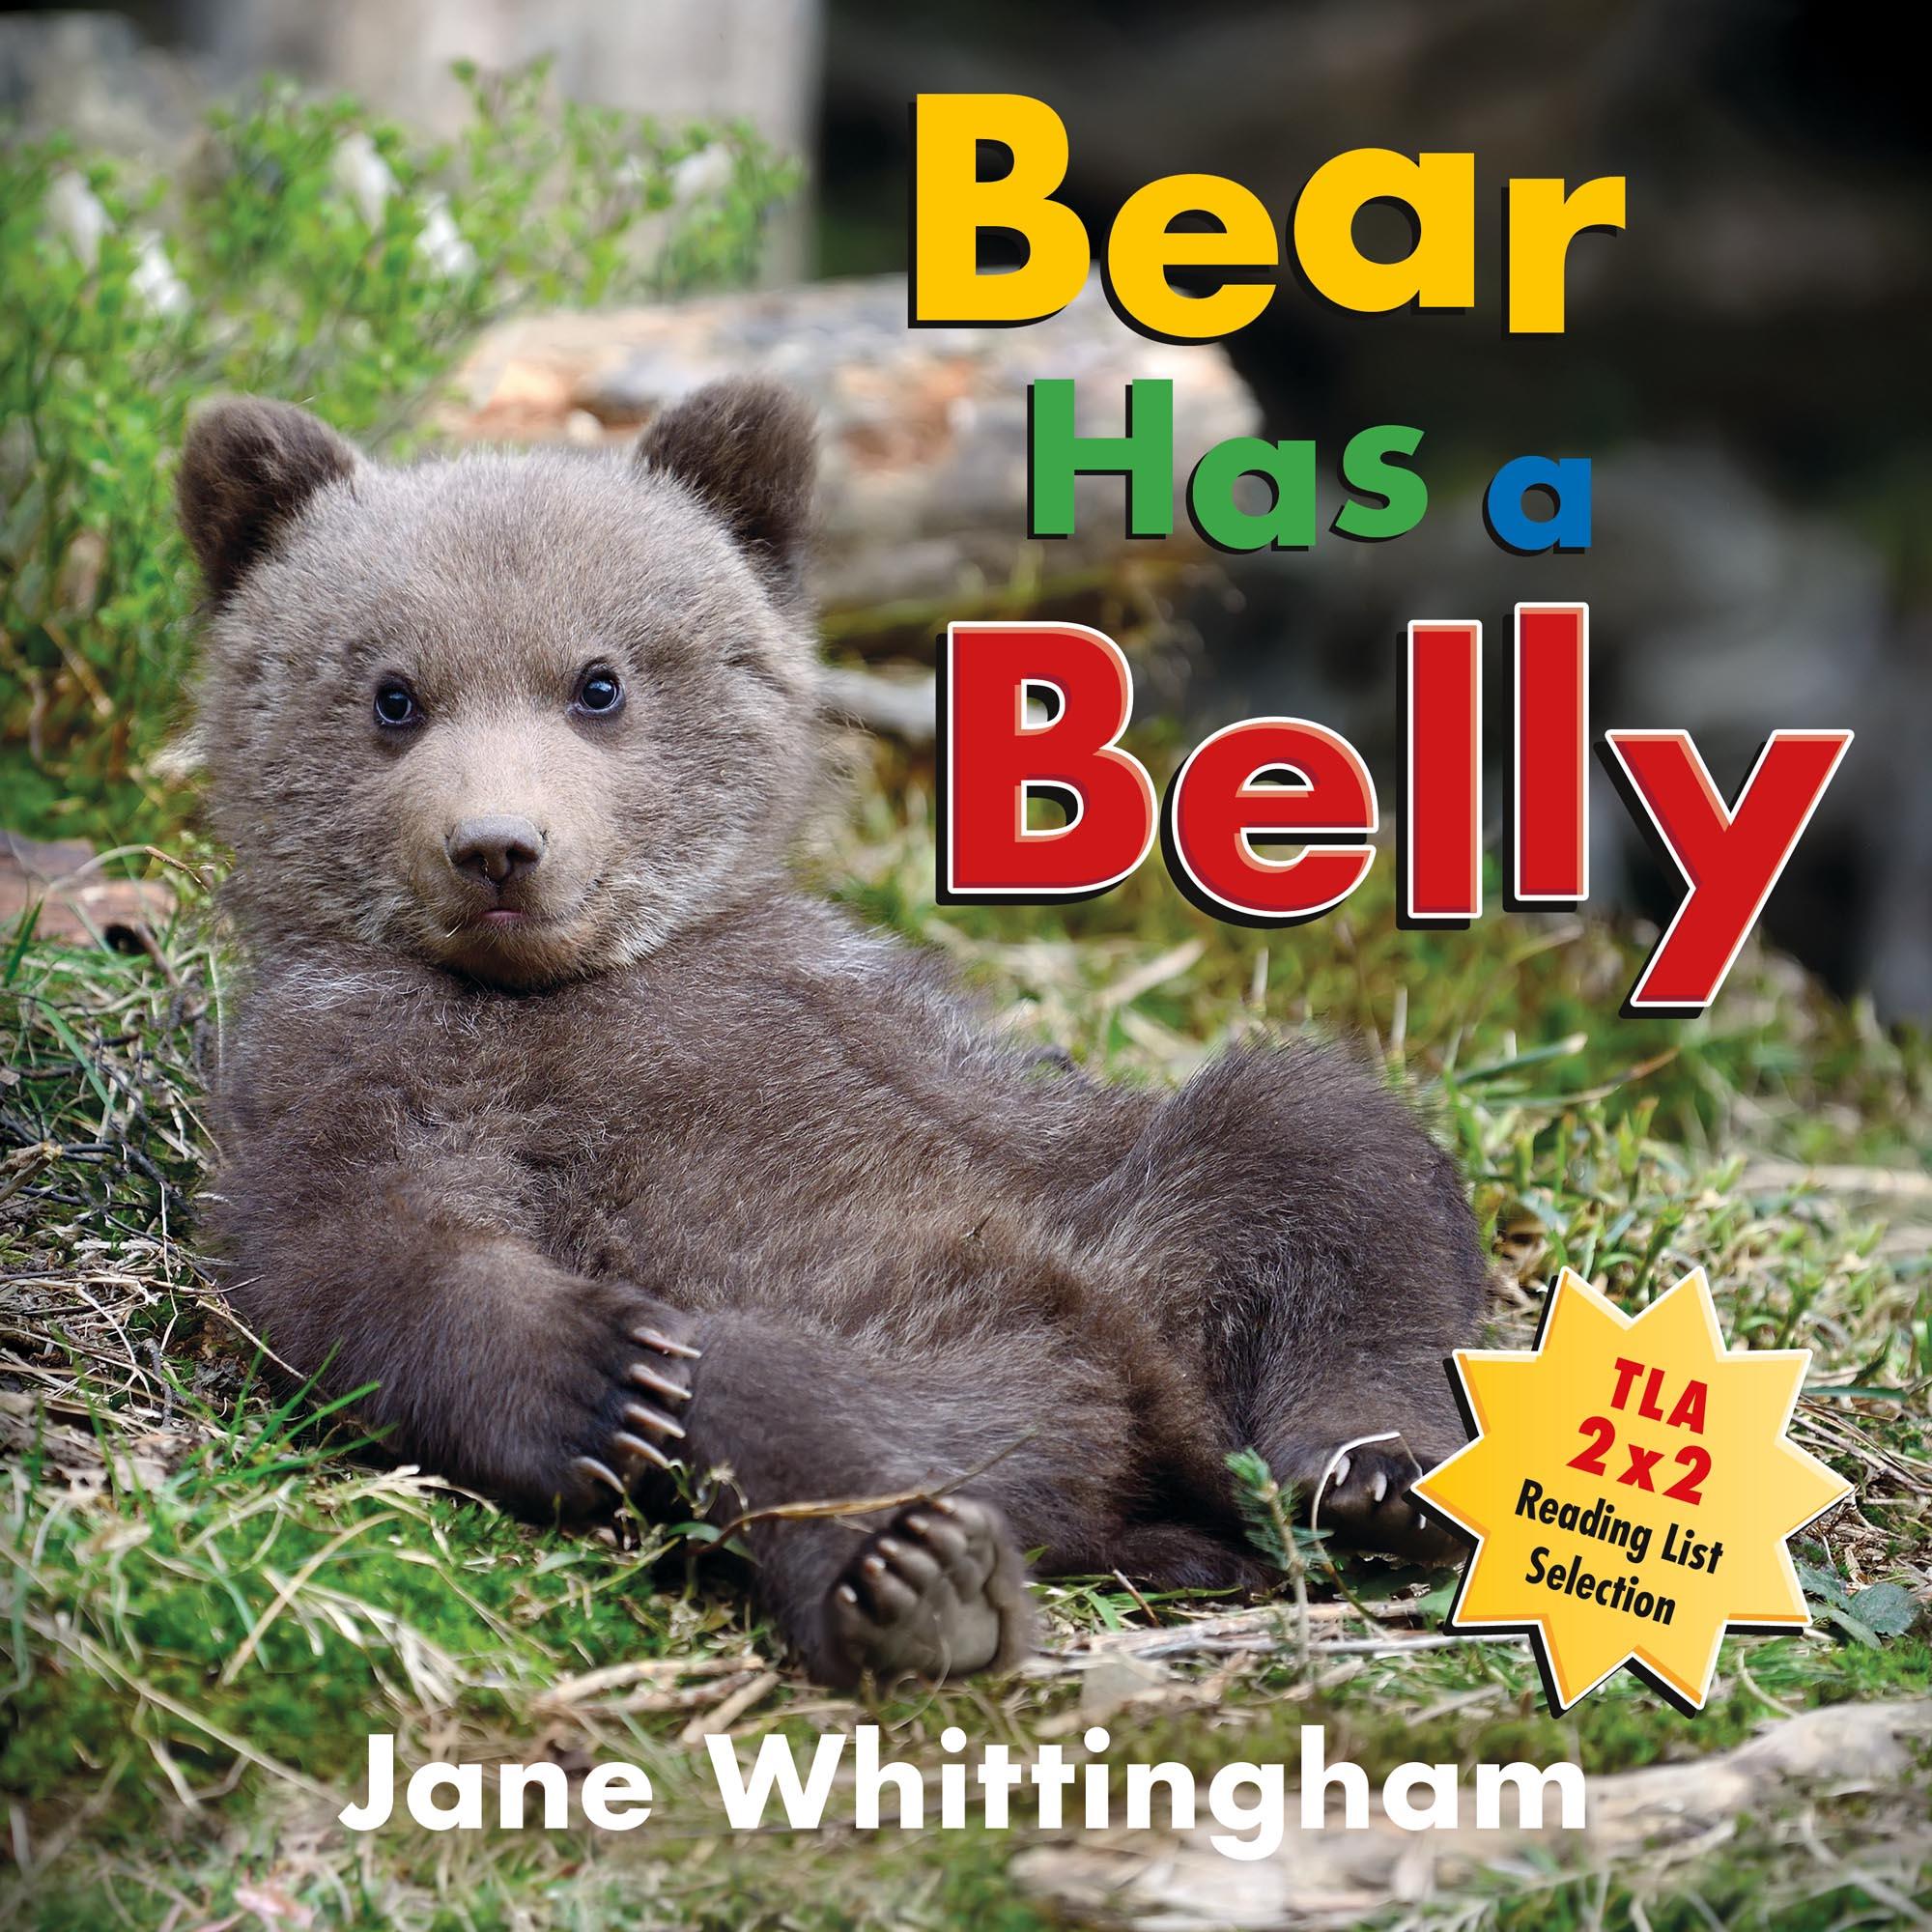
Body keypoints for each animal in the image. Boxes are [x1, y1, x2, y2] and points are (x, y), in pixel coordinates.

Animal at [176, 381, 1490, 1689]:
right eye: (393, 695)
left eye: (598, 682)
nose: (498, 846)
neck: (557, 984)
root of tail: (1151, 1423)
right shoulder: (355, 1060)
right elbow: (358, 1248)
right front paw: (591, 1374)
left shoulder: (852, 1004)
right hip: (881, 1347)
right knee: (764, 1391)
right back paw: (916, 1575)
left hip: (1140, 1234)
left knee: (1317, 1150)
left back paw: (1380, 1472)